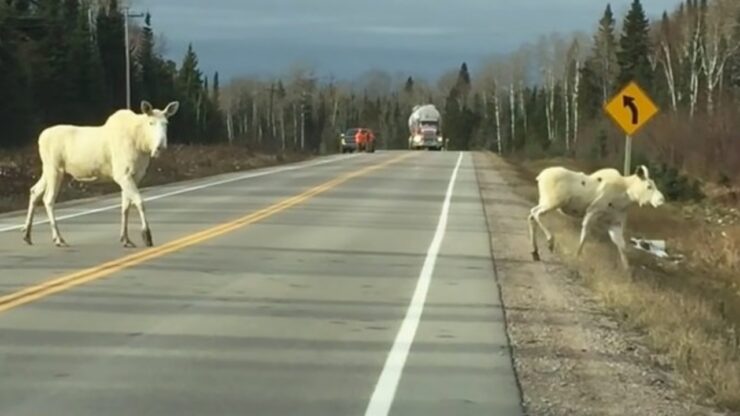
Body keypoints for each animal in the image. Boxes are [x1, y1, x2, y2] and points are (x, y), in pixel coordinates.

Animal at [21, 100, 180, 250]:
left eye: (166, 123)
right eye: (151, 122)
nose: (160, 147)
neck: (141, 144)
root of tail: (40, 138)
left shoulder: (135, 176)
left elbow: (125, 206)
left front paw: (126, 239)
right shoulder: (122, 175)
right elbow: (139, 202)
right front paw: (147, 236)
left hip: (49, 170)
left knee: (35, 191)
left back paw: (27, 235)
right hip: (55, 170)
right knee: (48, 199)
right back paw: (58, 239)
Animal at [528, 164, 668, 272]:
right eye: (649, 186)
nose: (661, 200)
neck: (627, 195)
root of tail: (539, 177)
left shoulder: (615, 222)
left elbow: (622, 246)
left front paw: (627, 271)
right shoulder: (592, 211)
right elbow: (584, 235)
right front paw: (577, 256)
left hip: (546, 202)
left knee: (531, 215)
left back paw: (535, 252)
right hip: (552, 202)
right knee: (536, 213)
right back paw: (550, 242)